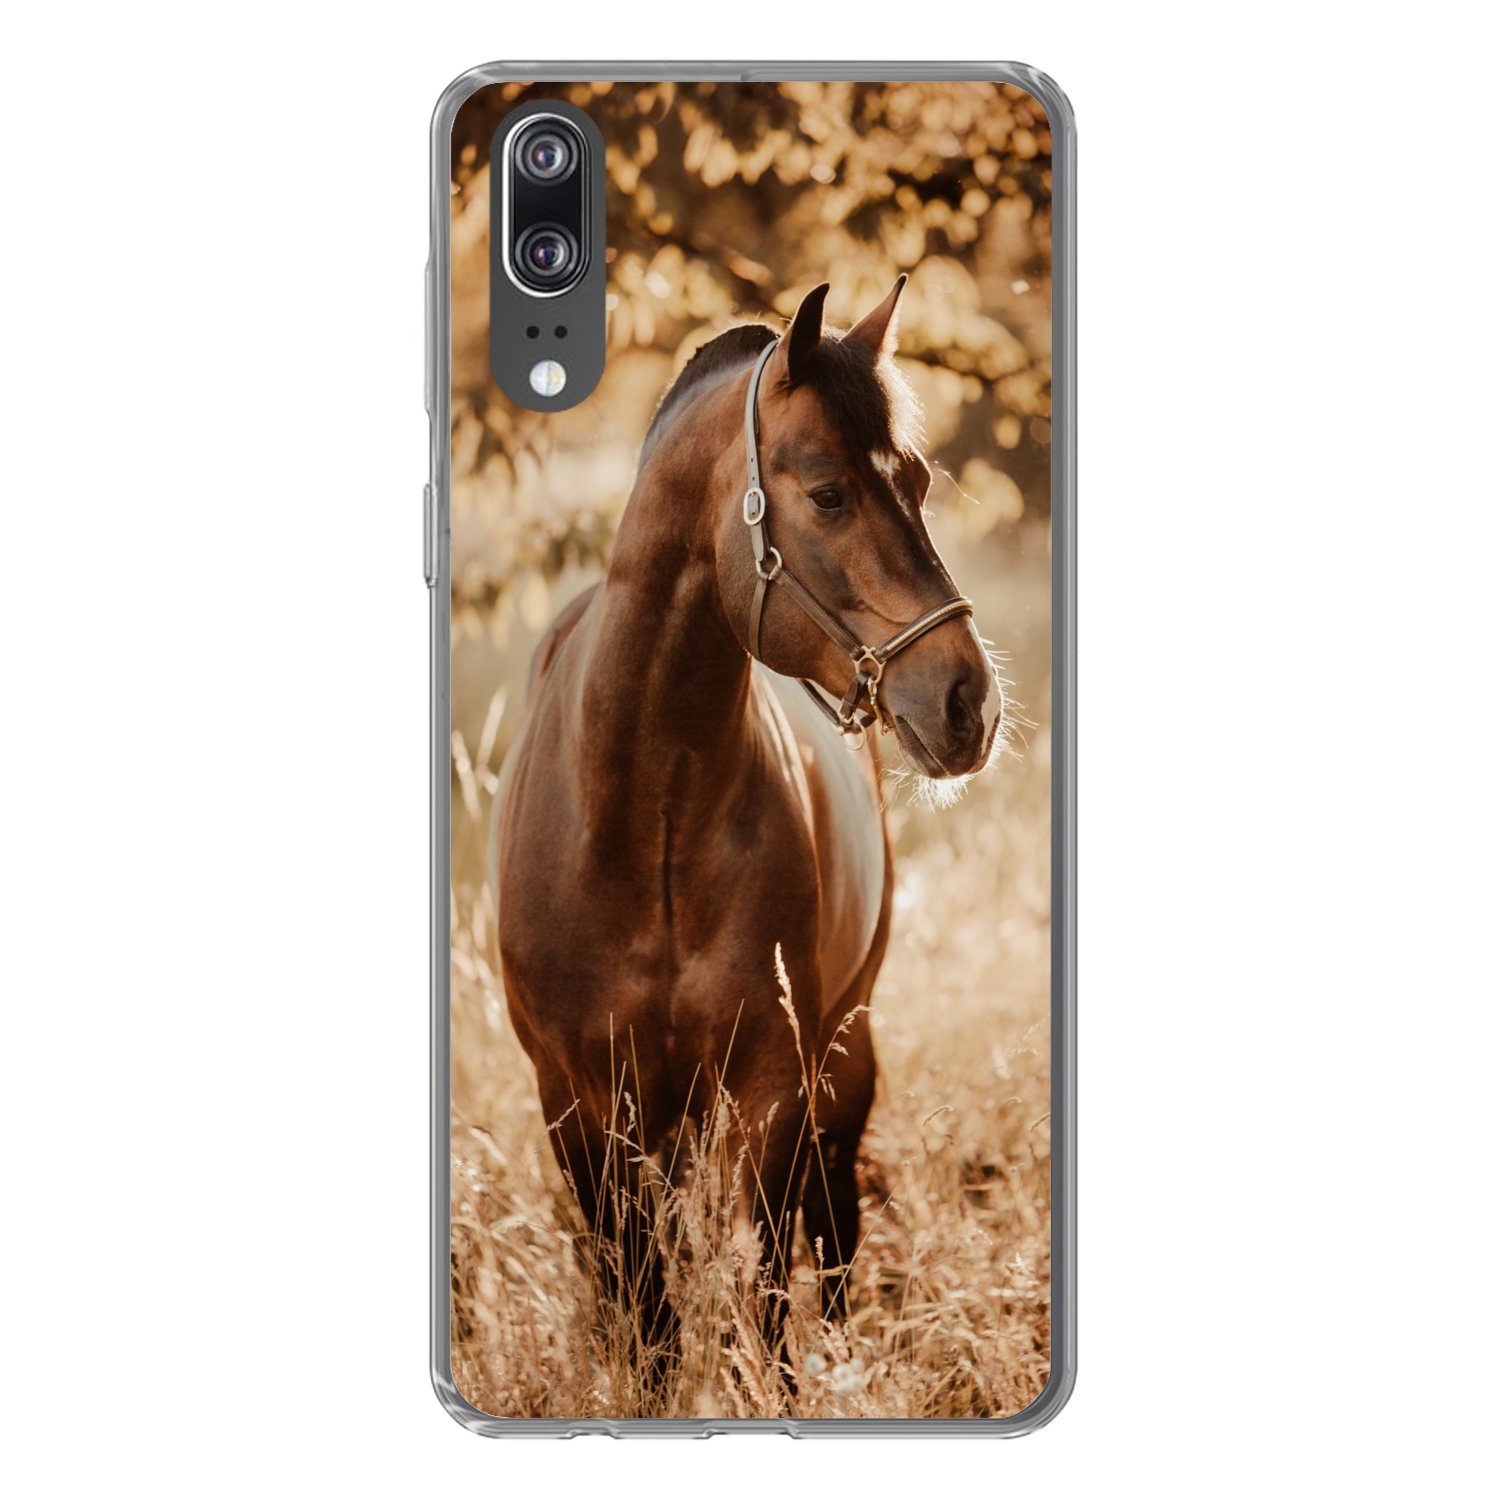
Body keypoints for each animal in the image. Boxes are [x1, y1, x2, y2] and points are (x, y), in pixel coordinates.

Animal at [489, 277, 1003, 1388]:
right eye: (829, 495)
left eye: (919, 479)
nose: (969, 705)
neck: (642, 816)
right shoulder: (577, 1103)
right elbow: (644, 1312)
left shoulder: (772, 1086)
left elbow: (767, 1297)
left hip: (841, 1062)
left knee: (833, 1238)